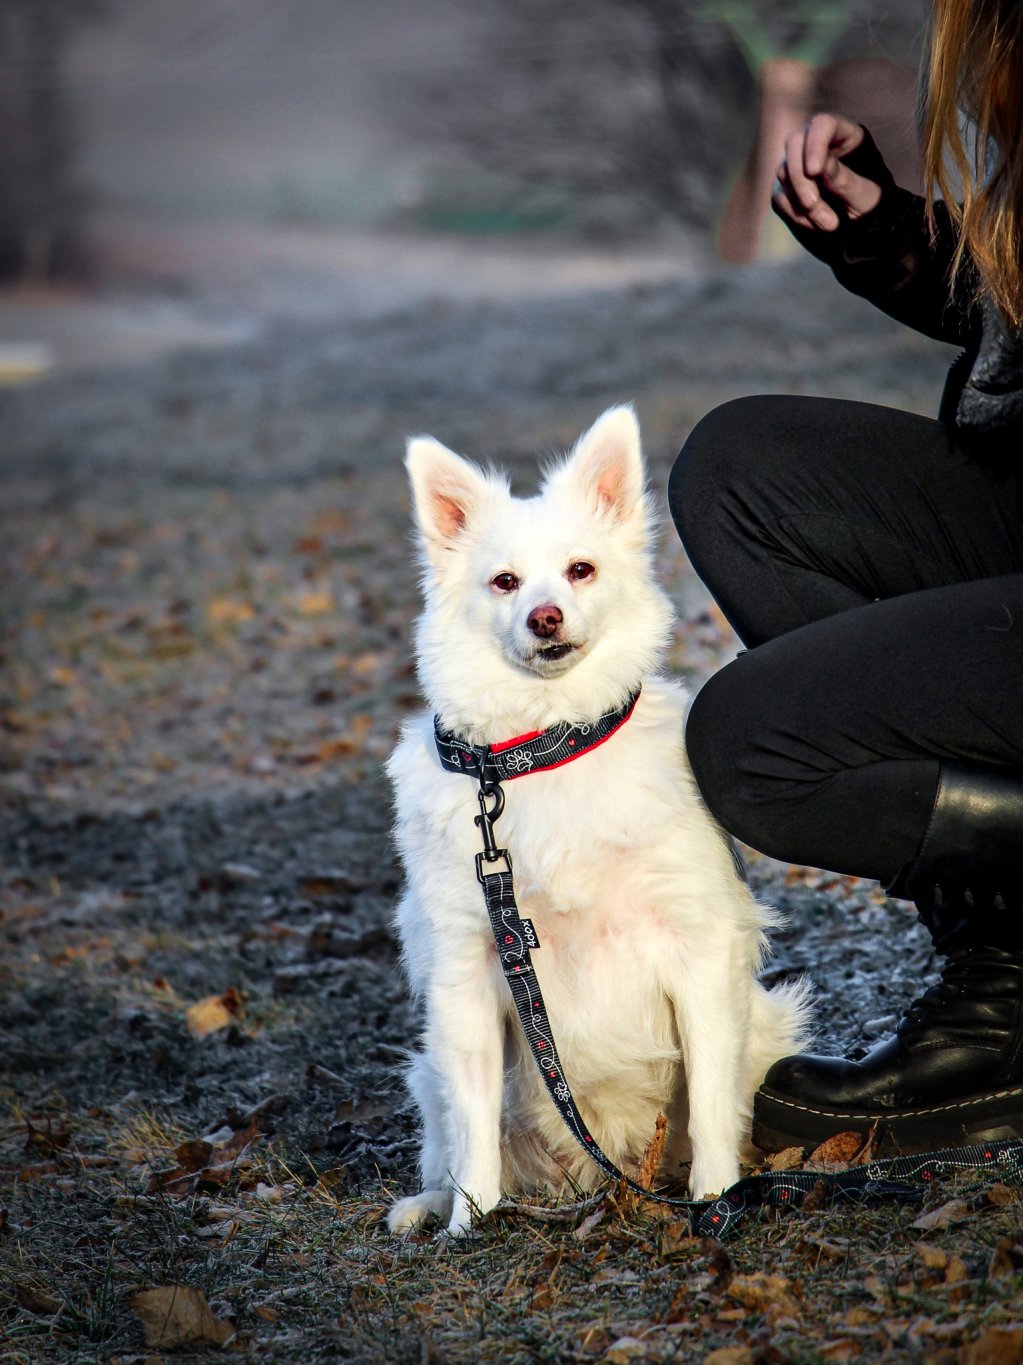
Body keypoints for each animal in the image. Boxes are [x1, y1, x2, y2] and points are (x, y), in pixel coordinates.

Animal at [387, 404, 808, 1239]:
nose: (544, 615)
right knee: (451, 1134)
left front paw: (717, 1200)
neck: (548, 749)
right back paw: (430, 1205)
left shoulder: (699, 952)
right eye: (505, 581)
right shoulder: (467, 974)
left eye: (580, 569)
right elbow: (475, 1121)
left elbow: (712, 1100)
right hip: (431, 1070)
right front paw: (470, 1224)